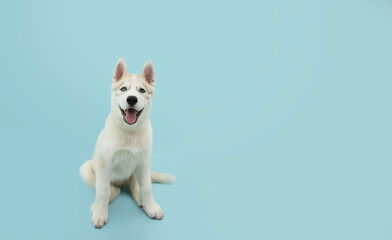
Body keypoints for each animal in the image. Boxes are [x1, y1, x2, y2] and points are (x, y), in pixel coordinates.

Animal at [79, 58, 175, 229]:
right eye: (123, 89)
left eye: (141, 90)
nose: (131, 99)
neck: (130, 132)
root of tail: (121, 182)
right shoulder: (104, 163)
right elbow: (103, 190)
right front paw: (100, 212)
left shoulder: (144, 162)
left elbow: (147, 187)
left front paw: (151, 206)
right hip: (86, 168)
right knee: (113, 190)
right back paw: (98, 205)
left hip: (136, 172)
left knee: (135, 186)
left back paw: (142, 202)